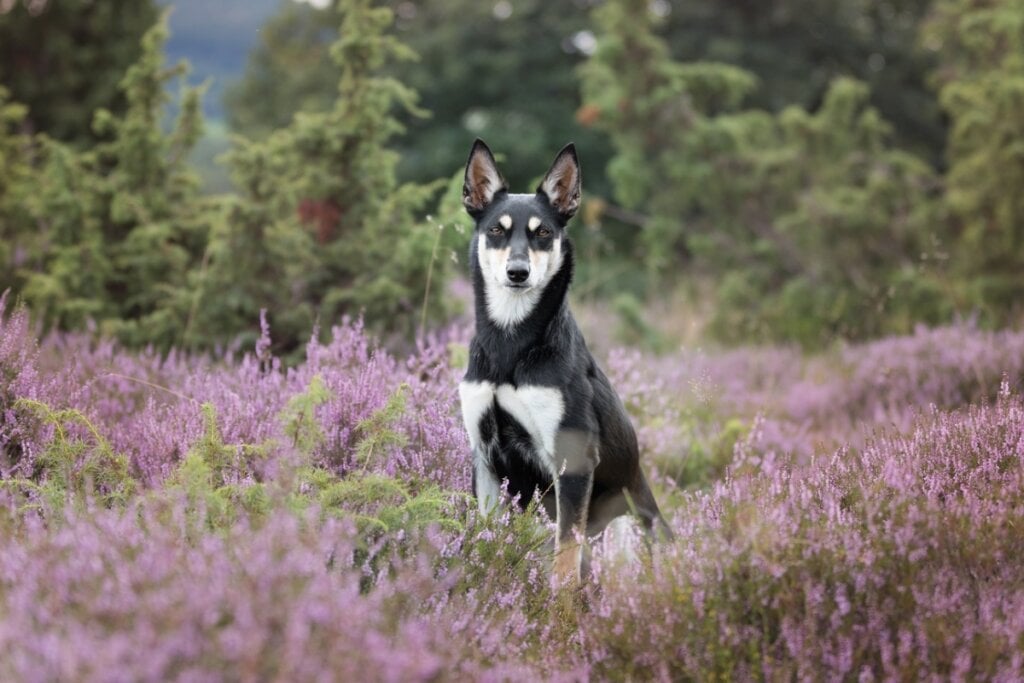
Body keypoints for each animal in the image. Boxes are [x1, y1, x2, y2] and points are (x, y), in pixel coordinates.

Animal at [458, 137, 671, 581]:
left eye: (543, 233)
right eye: (496, 230)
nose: (517, 272)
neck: (511, 343)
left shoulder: (572, 461)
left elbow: (565, 557)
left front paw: (560, 601)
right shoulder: (484, 459)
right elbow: (485, 539)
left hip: (626, 526)